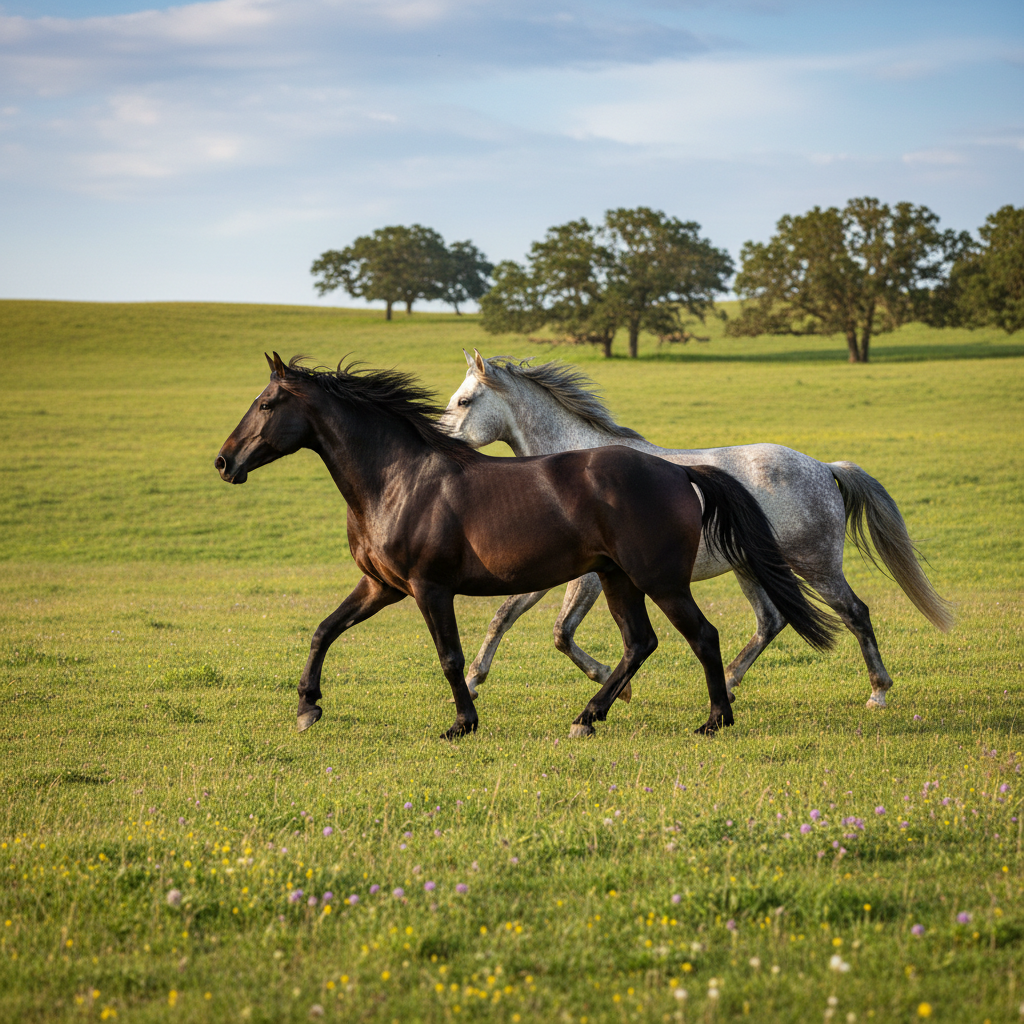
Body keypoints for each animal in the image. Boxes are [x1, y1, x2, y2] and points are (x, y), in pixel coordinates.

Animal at [215, 353, 838, 739]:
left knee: (704, 636)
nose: (224, 462)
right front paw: (307, 708)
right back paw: (588, 717)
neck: (399, 479)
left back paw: (714, 720)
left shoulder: (429, 588)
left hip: (661, 581)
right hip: (617, 579)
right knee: (641, 643)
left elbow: (450, 657)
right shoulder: (381, 586)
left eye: (266, 404)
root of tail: (679, 472)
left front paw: (461, 724)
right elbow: (324, 630)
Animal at [439, 351, 952, 709]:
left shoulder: (588, 579)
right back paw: (728, 682)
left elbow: (561, 632)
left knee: (855, 613)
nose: (440, 445)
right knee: (771, 621)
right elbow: (504, 617)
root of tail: (825, 468)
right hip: (752, 568)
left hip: (816, 565)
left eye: (464, 401)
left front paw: (615, 687)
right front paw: (472, 683)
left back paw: (878, 693)